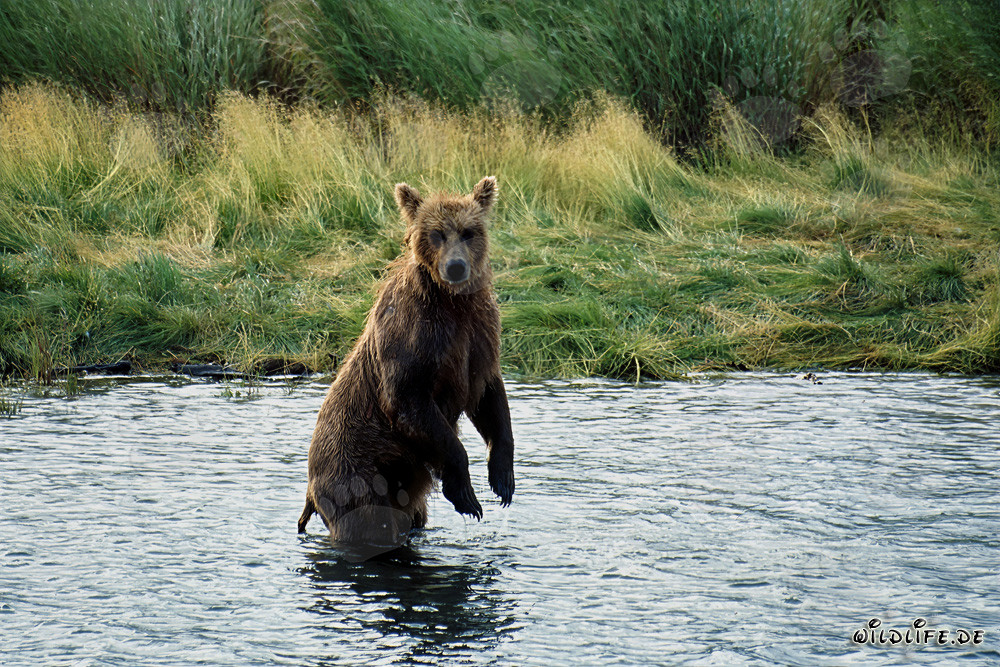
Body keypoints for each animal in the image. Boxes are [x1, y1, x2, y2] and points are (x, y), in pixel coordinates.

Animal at [297, 176, 515, 553]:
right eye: (436, 233)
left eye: (469, 232)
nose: (455, 266)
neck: (451, 303)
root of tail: (309, 489)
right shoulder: (414, 336)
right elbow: (410, 401)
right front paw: (467, 496)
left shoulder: (479, 336)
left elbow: (489, 397)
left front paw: (502, 479)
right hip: (360, 470)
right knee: (369, 522)